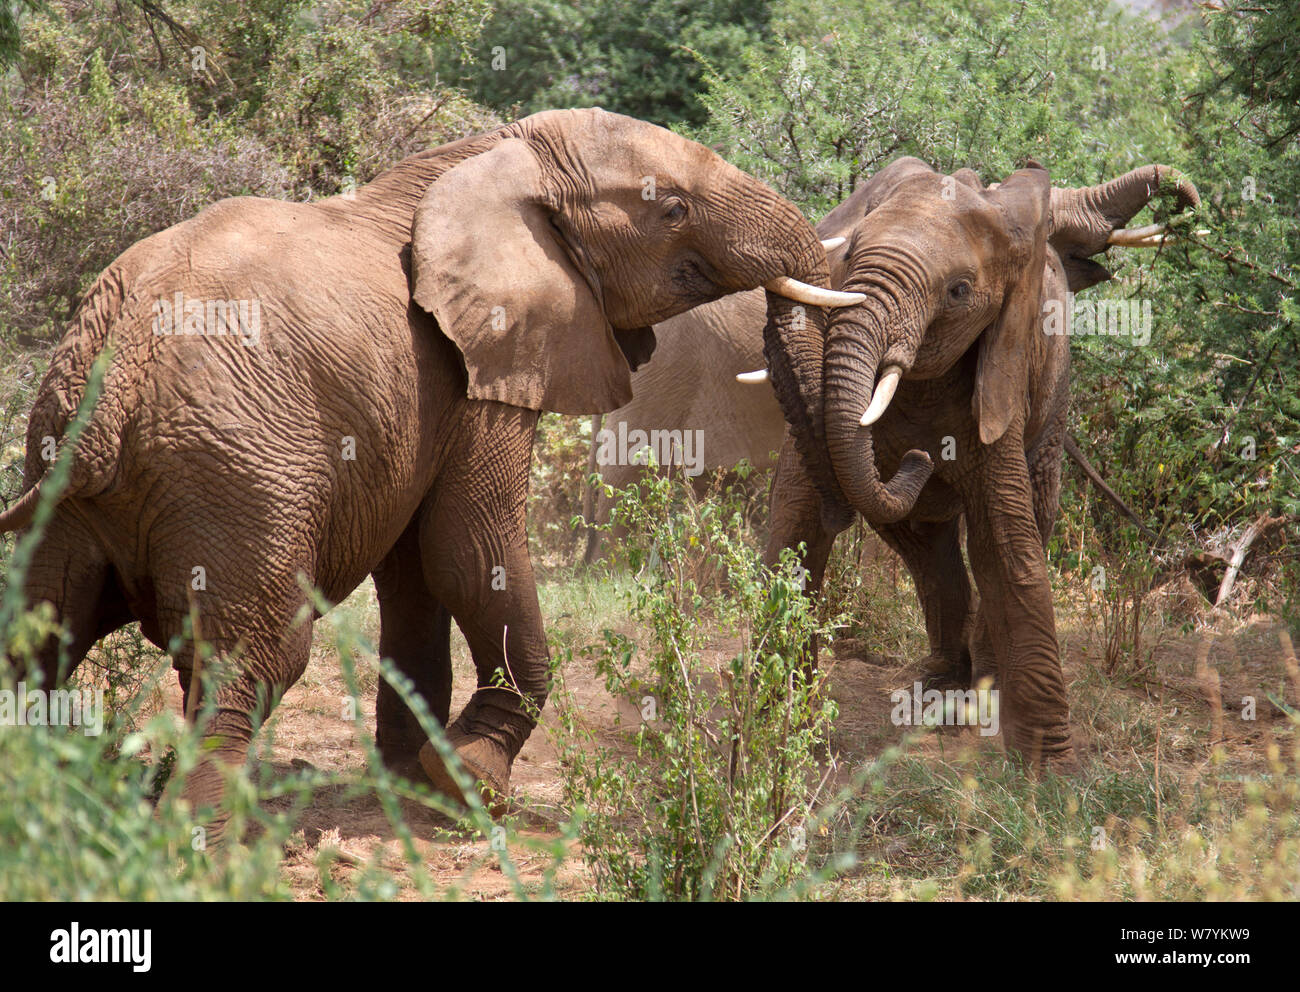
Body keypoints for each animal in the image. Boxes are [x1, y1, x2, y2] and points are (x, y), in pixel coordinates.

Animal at [0, 106, 857, 832]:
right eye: (672, 210)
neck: (496, 154)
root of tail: (117, 360)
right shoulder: (481, 358)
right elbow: (469, 547)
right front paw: (469, 784)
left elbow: (415, 572)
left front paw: (408, 779)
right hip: (231, 475)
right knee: (253, 656)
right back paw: (204, 845)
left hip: (67, 470)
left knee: (39, 631)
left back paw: (39, 807)